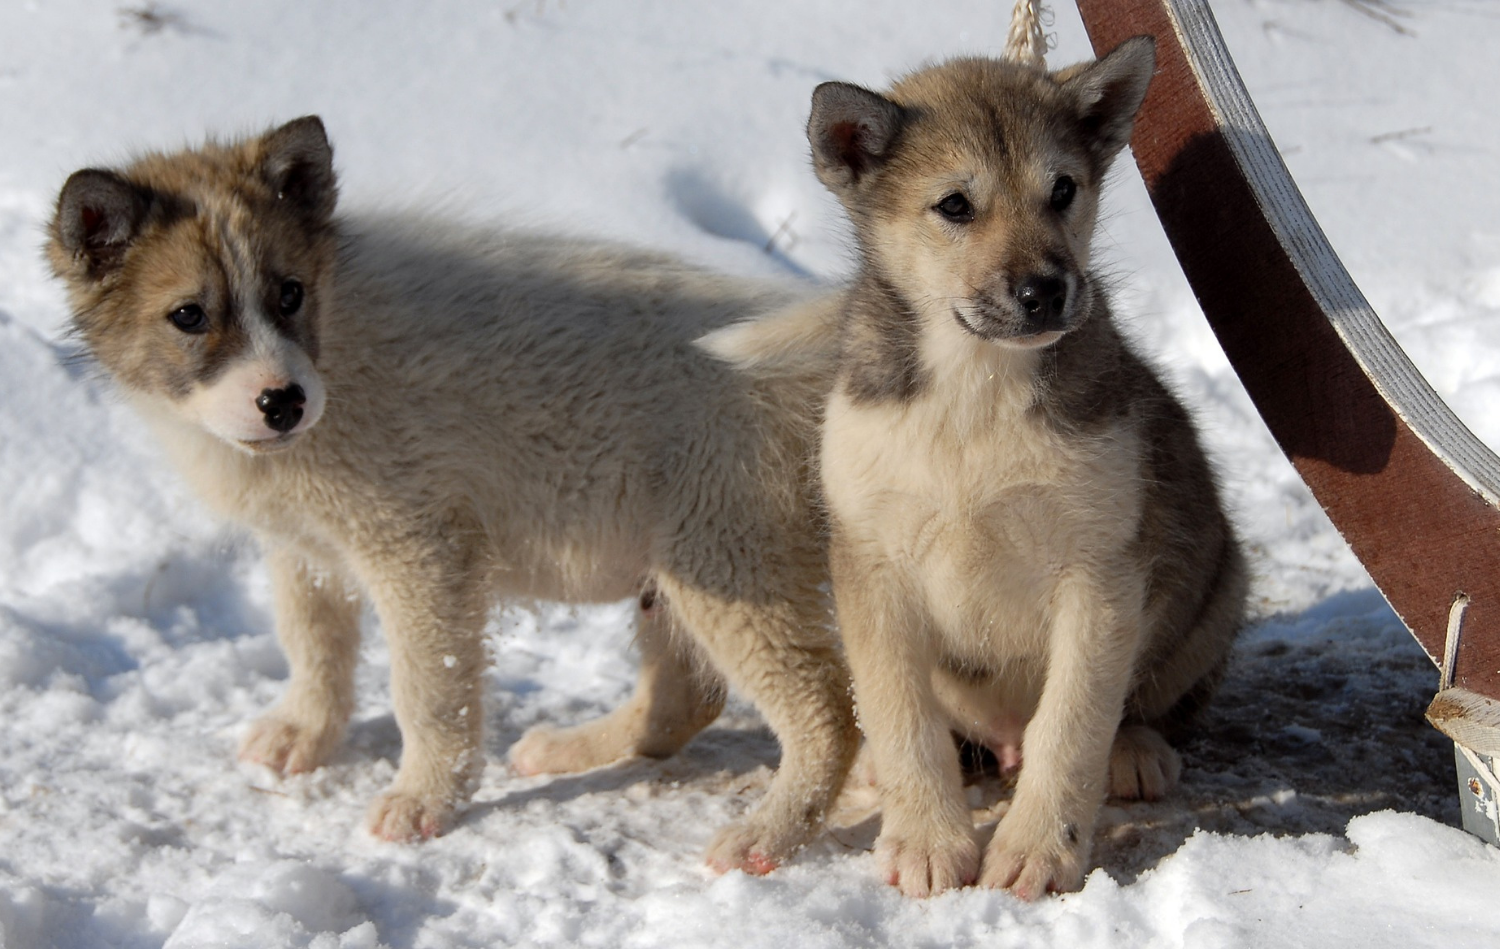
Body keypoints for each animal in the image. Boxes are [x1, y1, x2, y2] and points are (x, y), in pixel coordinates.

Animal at [46, 118, 858, 875]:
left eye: (289, 294)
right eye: (189, 315)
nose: (283, 402)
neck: (337, 348)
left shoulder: (420, 552)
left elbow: (427, 691)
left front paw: (423, 800)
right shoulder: (305, 548)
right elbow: (313, 645)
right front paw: (304, 732)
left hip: (727, 562)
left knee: (828, 714)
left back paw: (768, 834)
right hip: (682, 565)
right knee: (687, 700)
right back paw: (572, 749)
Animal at [804, 38, 1248, 893]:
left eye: (1063, 190)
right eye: (954, 206)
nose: (1047, 290)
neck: (973, 394)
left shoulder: (1099, 571)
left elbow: (1071, 724)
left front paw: (1041, 849)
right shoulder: (871, 565)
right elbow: (905, 717)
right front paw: (927, 839)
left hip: (1219, 585)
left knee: (1144, 706)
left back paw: (1135, 750)